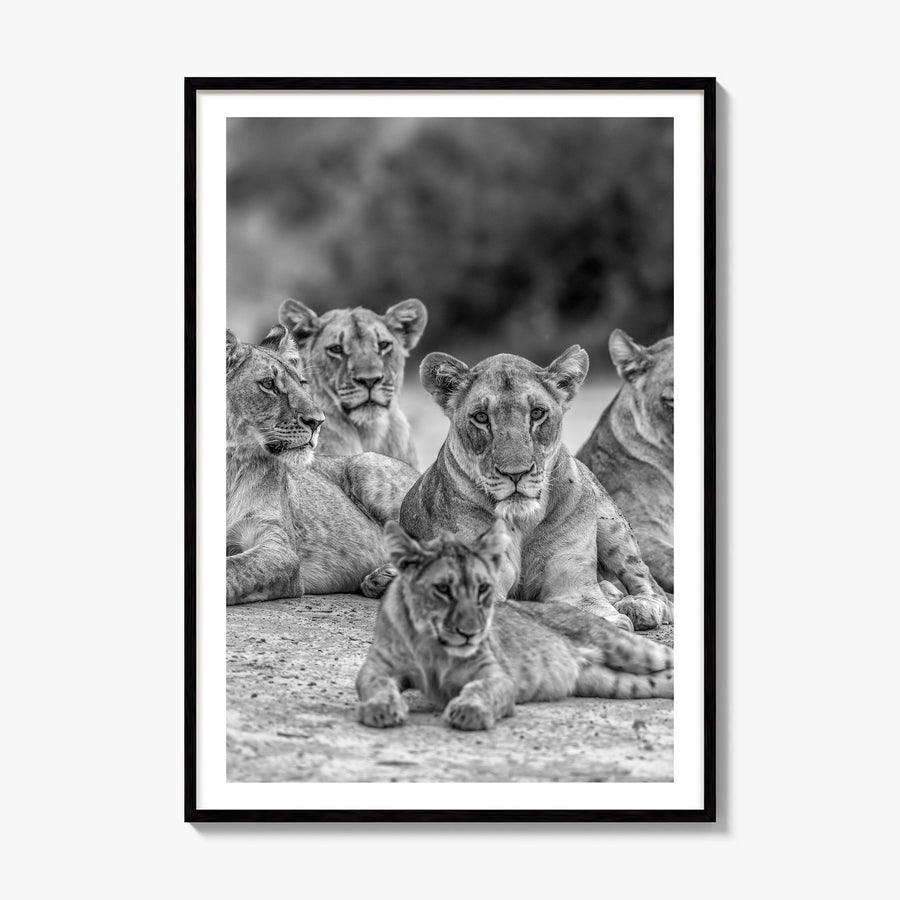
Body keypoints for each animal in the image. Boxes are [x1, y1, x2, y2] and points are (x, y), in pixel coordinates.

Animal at [226, 324, 418, 605]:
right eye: (269, 384)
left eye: (302, 383)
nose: (318, 421)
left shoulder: (280, 549)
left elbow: (232, 569)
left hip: (366, 464)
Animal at [357, 520, 673, 731]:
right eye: (443, 589)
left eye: (483, 588)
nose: (471, 631)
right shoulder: (377, 668)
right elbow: (375, 685)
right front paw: (381, 709)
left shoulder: (497, 675)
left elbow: (482, 689)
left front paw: (469, 711)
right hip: (611, 682)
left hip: (627, 647)